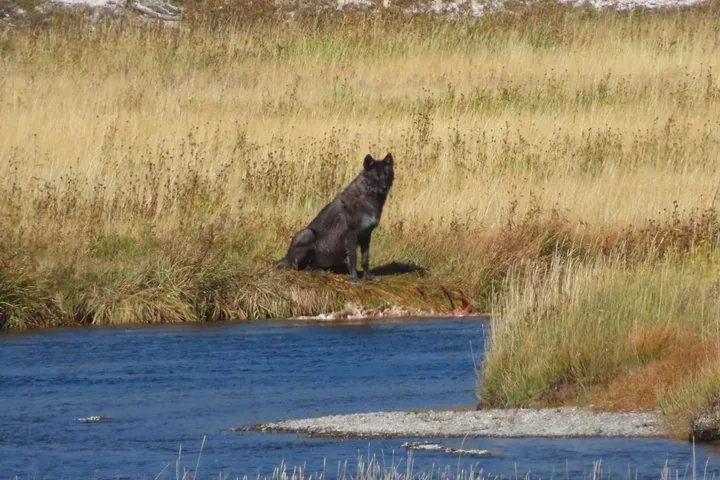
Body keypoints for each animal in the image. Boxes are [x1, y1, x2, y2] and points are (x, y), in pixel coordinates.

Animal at [276, 152, 395, 283]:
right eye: (376, 176)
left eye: (386, 174)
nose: (384, 187)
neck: (368, 198)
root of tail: (285, 258)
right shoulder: (351, 235)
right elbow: (353, 259)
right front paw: (355, 278)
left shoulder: (366, 236)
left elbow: (365, 259)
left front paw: (368, 276)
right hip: (307, 233)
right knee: (301, 267)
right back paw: (317, 271)